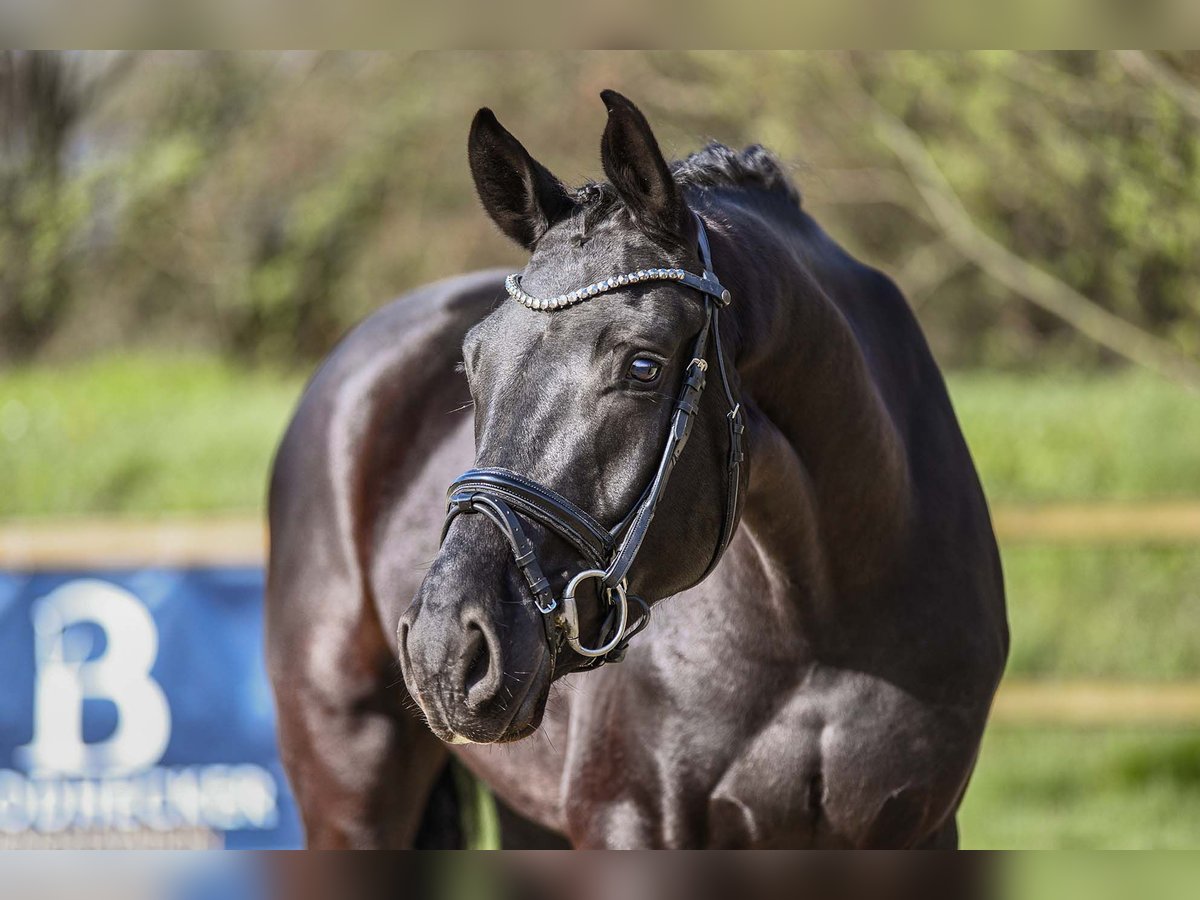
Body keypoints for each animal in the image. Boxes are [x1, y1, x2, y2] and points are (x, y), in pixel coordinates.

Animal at [267, 88, 1008, 849]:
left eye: (644, 367)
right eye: (472, 364)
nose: (445, 647)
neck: (823, 622)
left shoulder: (918, 828)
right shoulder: (629, 823)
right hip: (352, 788)